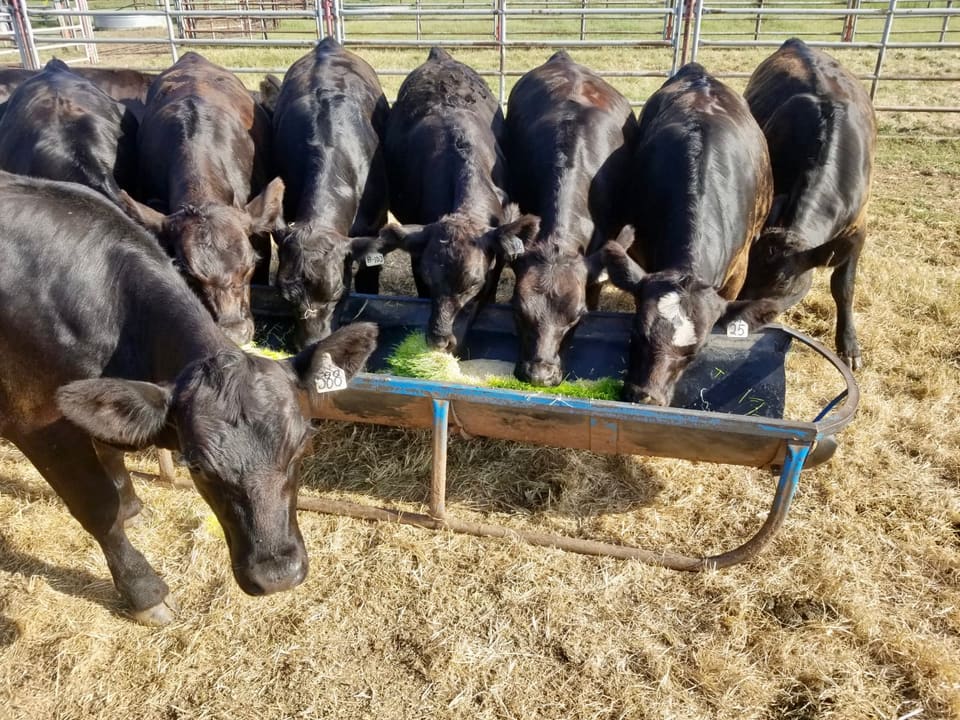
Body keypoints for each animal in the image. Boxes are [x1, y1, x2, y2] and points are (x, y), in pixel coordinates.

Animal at [0, 171, 377, 625]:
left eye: (303, 446)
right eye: (196, 465)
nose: (277, 575)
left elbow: (111, 459)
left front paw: (131, 507)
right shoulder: (35, 423)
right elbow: (98, 507)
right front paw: (145, 591)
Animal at [731, 38, 877, 370]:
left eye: (783, 285)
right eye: (748, 270)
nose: (732, 319)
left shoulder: (858, 228)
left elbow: (844, 286)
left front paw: (850, 346)